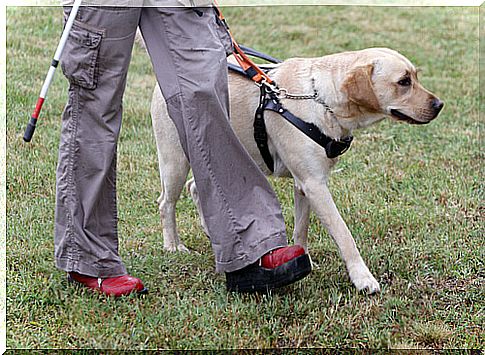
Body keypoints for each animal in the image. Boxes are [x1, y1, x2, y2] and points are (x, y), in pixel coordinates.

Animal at [150, 48, 442, 294]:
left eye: (415, 77)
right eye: (403, 81)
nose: (439, 105)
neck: (320, 99)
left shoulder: (304, 185)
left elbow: (301, 230)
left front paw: (302, 258)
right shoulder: (315, 185)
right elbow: (344, 235)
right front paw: (362, 278)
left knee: (196, 187)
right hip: (175, 161)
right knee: (166, 202)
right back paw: (172, 245)